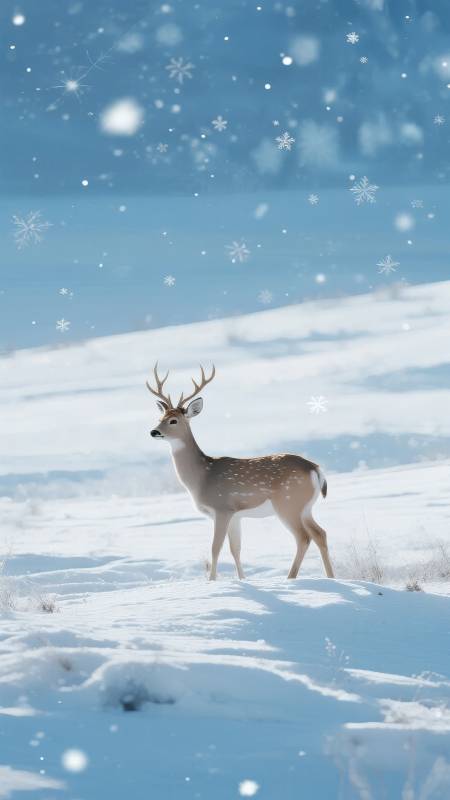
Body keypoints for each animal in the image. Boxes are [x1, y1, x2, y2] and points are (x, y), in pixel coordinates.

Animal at [147, 363, 334, 582]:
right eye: (160, 418)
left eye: (174, 421)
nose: (153, 432)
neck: (201, 477)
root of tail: (315, 469)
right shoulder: (236, 516)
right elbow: (235, 549)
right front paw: (242, 580)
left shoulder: (221, 508)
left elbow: (215, 548)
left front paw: (212, 581)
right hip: (305, 507)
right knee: (320, 533)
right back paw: (331, 577)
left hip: (288, 503)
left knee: (303, 537)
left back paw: (291, 578)